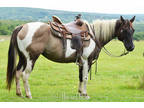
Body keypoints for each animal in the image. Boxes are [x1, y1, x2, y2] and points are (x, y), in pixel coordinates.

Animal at [6, 15, 135, 98]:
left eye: (132, 30)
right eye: (124, 30)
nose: (131, 47)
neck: (94, 36)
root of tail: (22, 26)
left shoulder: (81, 62)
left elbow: (80, 77)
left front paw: (80, 92)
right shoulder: (87, 61)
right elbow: (85, 77)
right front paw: (85, 94)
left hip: (23, 58)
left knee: (17, 72)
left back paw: (19, 93)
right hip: (30, 58)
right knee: (24, 74)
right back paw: (28, 94)